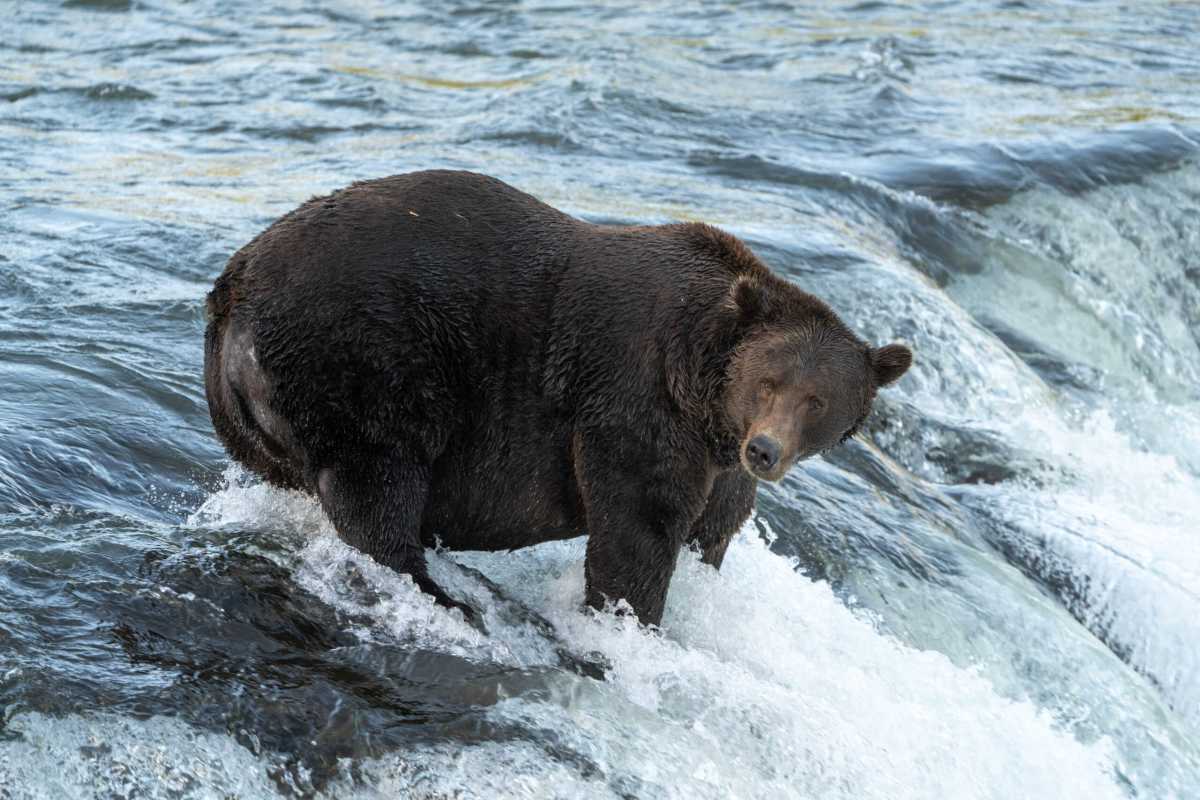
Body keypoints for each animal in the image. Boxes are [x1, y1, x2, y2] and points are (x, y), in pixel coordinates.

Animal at [204, 170, 912, 626]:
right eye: (770, 381)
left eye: (818, 401)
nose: (765, 450)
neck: (704, 392)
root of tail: (232, 294)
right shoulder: (633, 399)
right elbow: (637, 526)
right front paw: (628, 620)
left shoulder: (716, 455)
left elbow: (714, 528)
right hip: (361, 359)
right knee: (376, 481)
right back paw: (440, 592)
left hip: (257, 414)